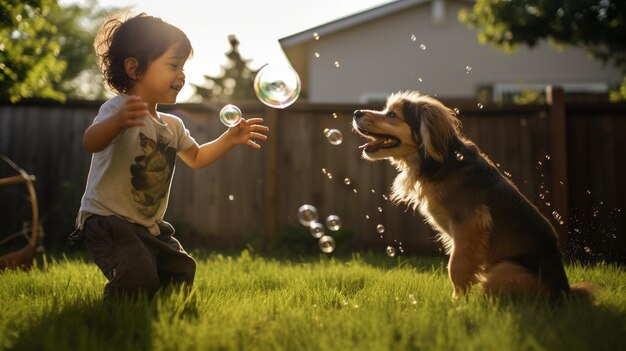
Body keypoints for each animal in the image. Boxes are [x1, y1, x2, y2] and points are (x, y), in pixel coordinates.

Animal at [354, 91, 592, 302]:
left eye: (392, 115)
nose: (356, 112)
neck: (442, 164)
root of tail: (565, 291)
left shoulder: (469, 224)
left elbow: (456, 267)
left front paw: (458, 303)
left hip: (504, 268)